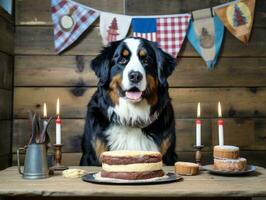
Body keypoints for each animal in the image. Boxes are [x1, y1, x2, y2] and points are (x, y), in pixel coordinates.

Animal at [80, 37, 178, 166]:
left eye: (146, 60)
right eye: (122, 60)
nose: (135, 76)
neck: (132, 116)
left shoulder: (168, 155)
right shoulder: (91, 155)